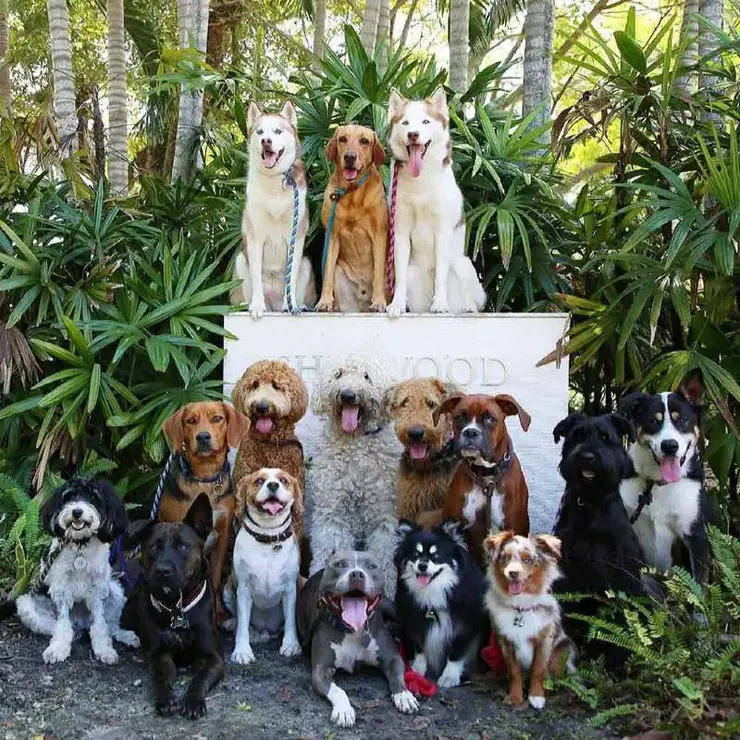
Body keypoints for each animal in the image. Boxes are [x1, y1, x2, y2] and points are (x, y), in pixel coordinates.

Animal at [9, 476, 137, 668]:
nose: (77, 512)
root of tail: (80, 622)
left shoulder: (98, 589)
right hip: (26, 605)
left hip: (115, 592)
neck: (80, 545)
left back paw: (126, 636)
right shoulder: (61, 588)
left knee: (111, 625)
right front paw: (58, 649)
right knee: (56, 625)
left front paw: (104, 650)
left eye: (93, 497)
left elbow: (100, 624)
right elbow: (62, 623)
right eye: (69, 496)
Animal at [122, 494, 223, 720]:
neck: (177, 605)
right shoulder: (159, 654)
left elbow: (200, 679)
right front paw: (166, 699)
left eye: (184, 546)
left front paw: (193, 701)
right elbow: (160, 677)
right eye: (153, 546)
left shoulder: (212, 657)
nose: (163, 570)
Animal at [296, 548, 422, 728]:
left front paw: (404, 695)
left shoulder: (392, 658)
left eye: (371, 566)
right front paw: (344, 710)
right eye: (339, 564)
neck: (353, 630)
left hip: (391, 608)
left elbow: (398, 676)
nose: (357, 574)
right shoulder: (321, 671)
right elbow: (338, 690)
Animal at [394, 520, 492, 688]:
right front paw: (417, 670)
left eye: (436, 555)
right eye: (415, 554)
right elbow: (420, 648)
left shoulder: (463, 626)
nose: (422, 566)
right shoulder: (415, 622)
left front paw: (449, 677)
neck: (434, 591)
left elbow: (456, 654)